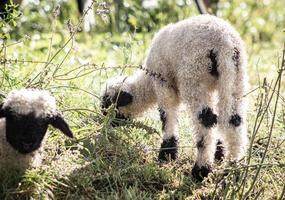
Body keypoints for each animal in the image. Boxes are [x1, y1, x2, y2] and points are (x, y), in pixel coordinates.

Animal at [101, 14, 247, 181]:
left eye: (108, 105)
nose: (106, 125)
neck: (147, 84)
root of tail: (224, 43)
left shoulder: (163, 81)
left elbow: (167, 115)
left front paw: (167, 153)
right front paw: (219, 153)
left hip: (194, 76)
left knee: (206, 121)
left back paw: (201, 170)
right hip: (235, 78)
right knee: (234, 120)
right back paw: (233, 169)